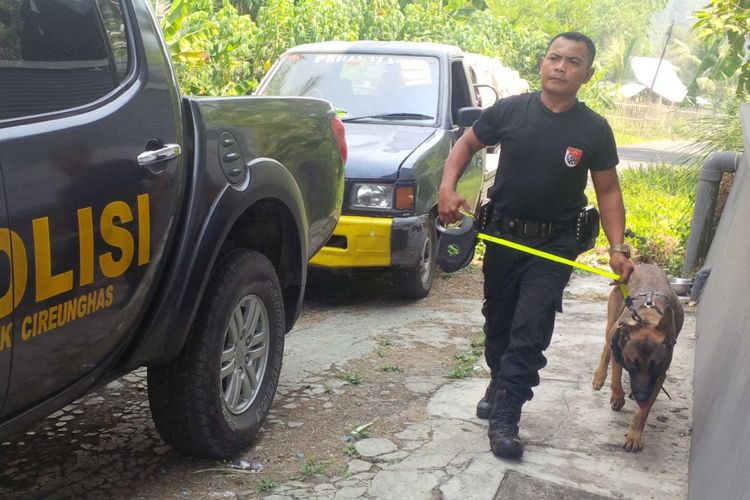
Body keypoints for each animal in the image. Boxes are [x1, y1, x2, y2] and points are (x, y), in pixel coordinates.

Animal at [592, 266, 688, 454]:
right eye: (632, 364)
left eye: (656, 366)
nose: (642, 397)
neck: (648, 318)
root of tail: (644, 264)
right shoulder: (618, 355)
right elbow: (615, 381)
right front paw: (618, 397)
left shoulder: (659, 377)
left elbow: (643, 413)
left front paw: (634, 436)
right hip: (611, 324)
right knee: (606, 347)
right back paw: (599, 377)